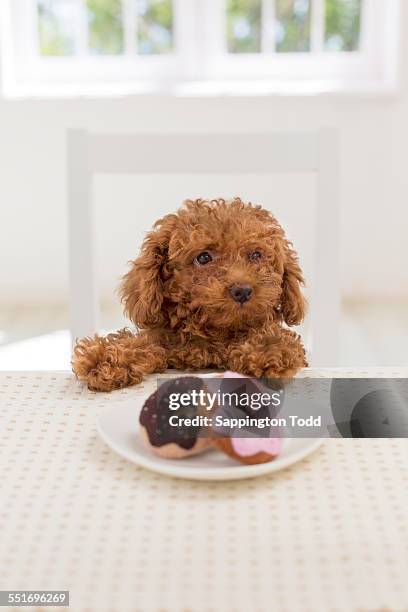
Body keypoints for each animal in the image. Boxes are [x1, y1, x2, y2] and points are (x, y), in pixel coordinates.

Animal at [72, 198, 306, 390]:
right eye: (203, 257)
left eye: (256, 255)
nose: (242, 291)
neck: (213, 331)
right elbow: (145, 343)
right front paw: (106, 357)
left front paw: (269, 349)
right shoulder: (166, 342)